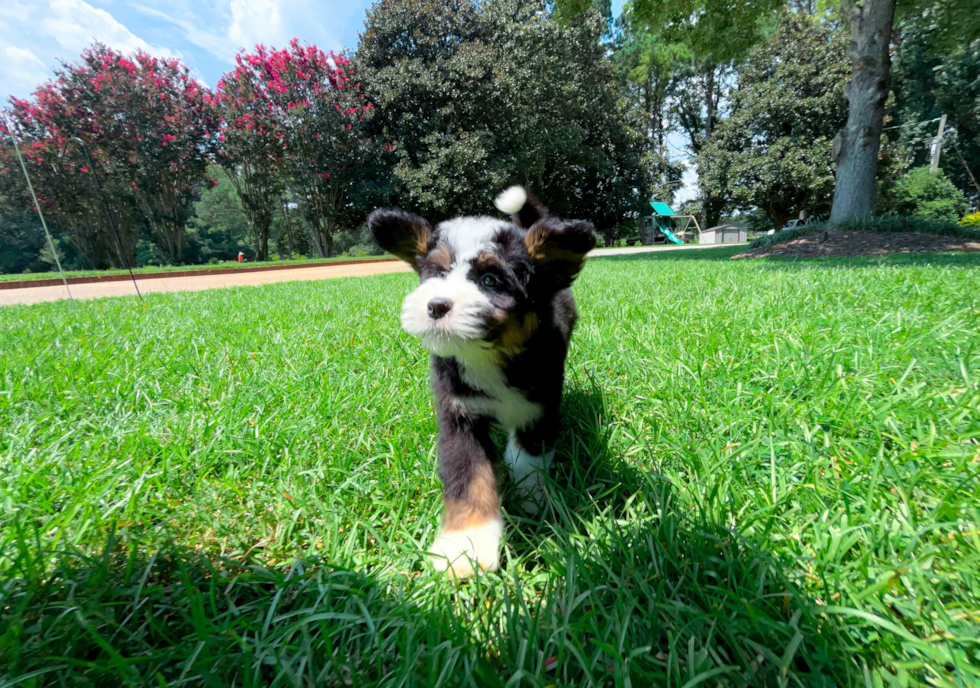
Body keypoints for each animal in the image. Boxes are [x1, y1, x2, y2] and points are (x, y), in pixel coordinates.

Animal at [370, 185, 592, 576]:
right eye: (436, 274)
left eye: (490, 280)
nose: (436, 305)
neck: (487, 355)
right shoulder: (458, 414)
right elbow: (470, 476)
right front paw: (465, 546)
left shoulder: (542, 403)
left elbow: (528, 459)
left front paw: (532, 502)